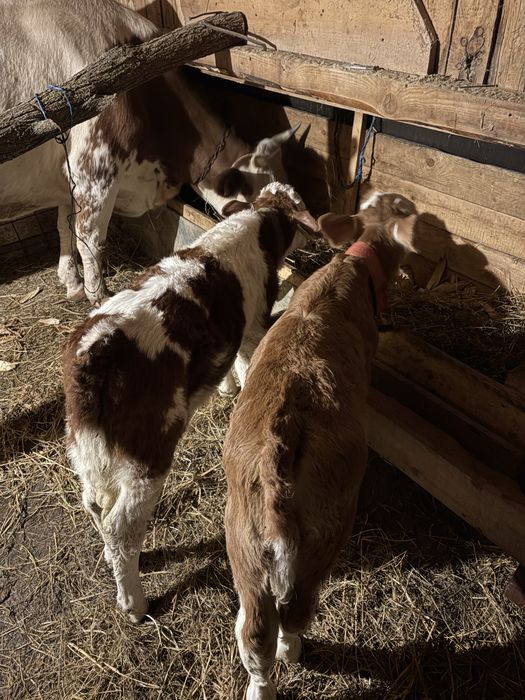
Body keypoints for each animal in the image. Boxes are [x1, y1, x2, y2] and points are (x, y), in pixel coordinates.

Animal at [0, 0, 299, 303]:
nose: (300, 242)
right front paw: (99, 296)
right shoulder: (93, 169)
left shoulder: (69, 175)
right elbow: (90, 239)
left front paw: (72, 283)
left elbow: (65, 226)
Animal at [223, 192, 418, 700]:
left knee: (254, 631)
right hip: (321, 539)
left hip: (243, 542)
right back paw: (293, 651)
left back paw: (259, 685)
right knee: (295, 613)